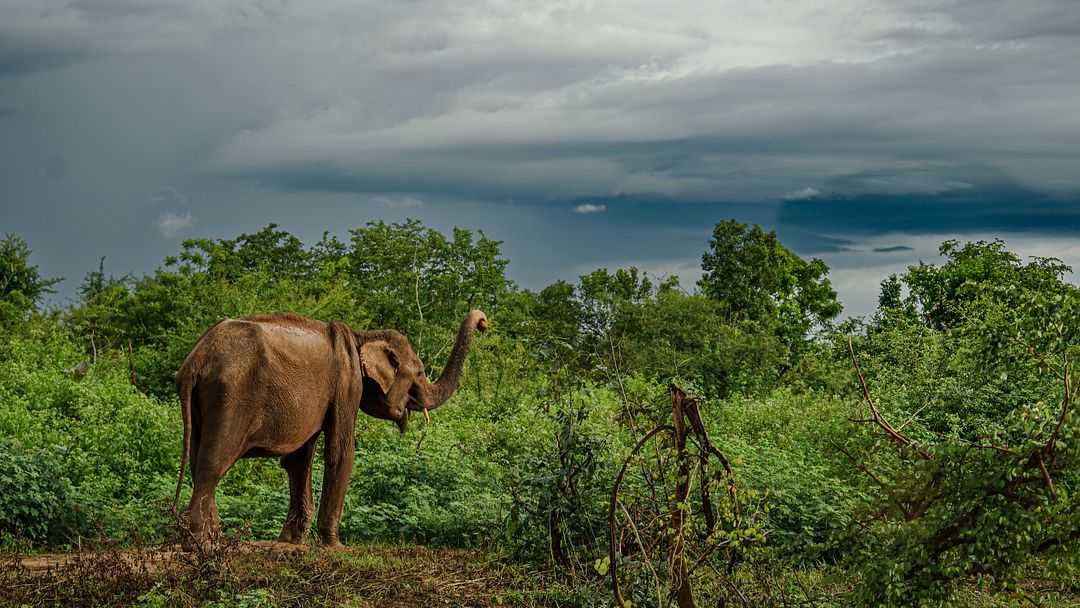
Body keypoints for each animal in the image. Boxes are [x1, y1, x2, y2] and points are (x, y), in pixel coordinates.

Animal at [169, 306, 490, 548]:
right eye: (421, 372)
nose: (485, 323)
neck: (363, 336)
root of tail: (196, 359)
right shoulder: (347, 383)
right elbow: (340, 453)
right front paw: (334, 546)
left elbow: (297, 461)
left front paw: (291, 542)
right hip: (231, 395)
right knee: (213, 463)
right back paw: (201, 544)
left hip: (204, 401)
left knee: (198, 460)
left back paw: (214, 539)